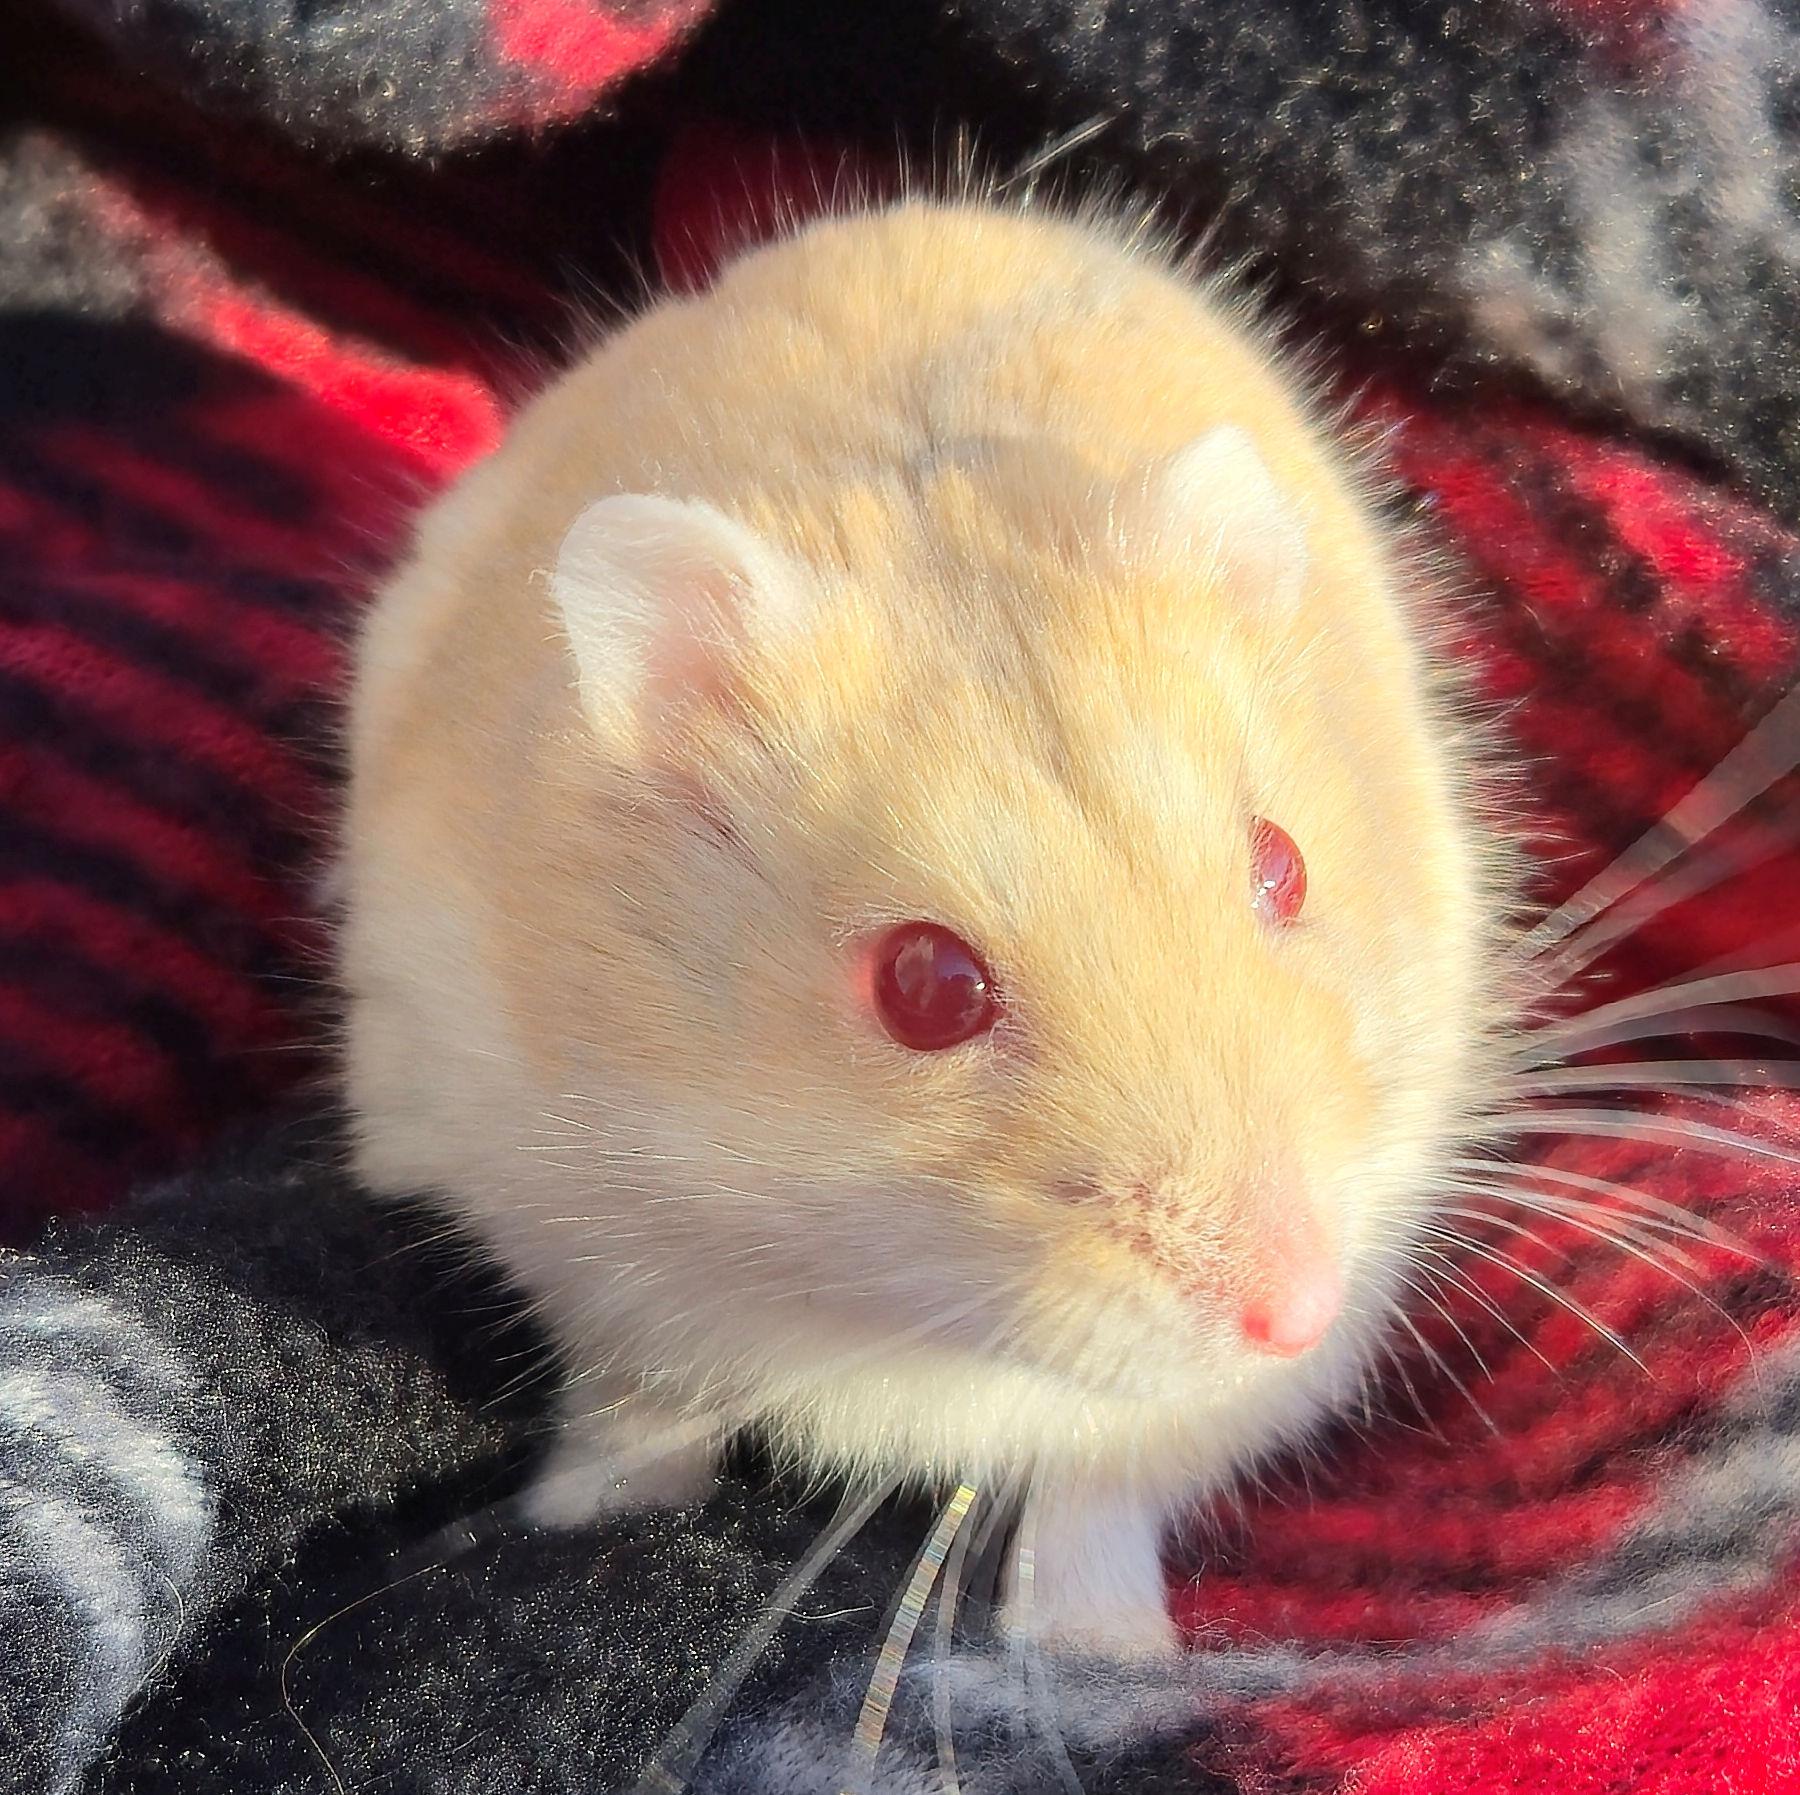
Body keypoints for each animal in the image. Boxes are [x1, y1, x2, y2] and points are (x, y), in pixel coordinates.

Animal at [338, 197, 1508, 1658]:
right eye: (927, 986)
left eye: (1286, 868)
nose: (1295, 1311)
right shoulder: (583, 1256)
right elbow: (641, 1411)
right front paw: (574, 1518)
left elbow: (1099, 1484)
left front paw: (1099, 1650)